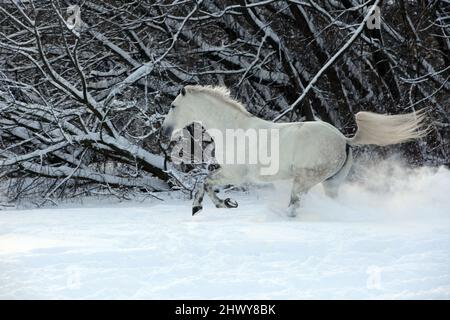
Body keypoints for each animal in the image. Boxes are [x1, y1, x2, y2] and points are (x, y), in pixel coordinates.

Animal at [161, 84, 426, 215]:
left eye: (173, 106)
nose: (164, 131)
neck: (233, 129)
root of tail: (344, 140)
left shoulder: (235, 174)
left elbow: (204, 182)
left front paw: (214, 205)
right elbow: (205, 183)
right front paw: (214, 205)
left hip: (304, 180)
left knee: (295, 205)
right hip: (331, 184)